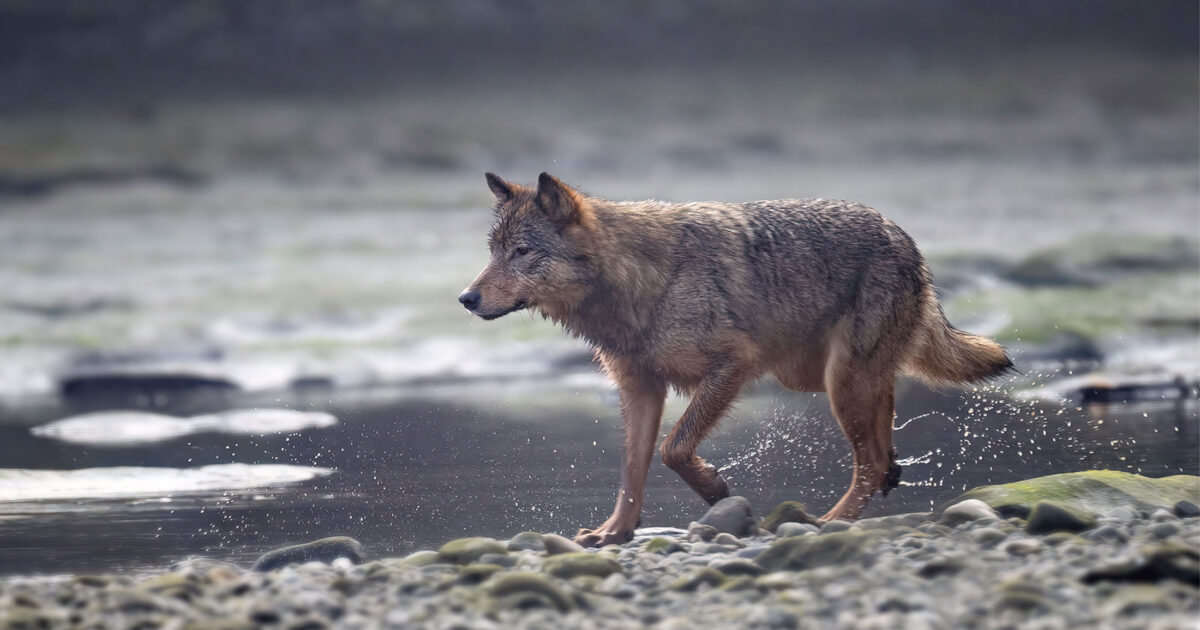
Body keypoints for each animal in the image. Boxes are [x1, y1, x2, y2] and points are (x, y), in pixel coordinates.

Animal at [460, 172, 1012, 547]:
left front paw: (716, 491)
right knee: (882, 432)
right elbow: (632, 470)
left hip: (837, 384)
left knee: (870, 460)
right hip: (822, 379)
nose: (465, 299)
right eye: (493, 251)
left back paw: (831, 522)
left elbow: (674, 449)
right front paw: (614, 533)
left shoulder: (732, 366)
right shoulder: (640, 390)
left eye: (522, 252)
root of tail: (906, 239)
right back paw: (885, 476)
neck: (642, 282)